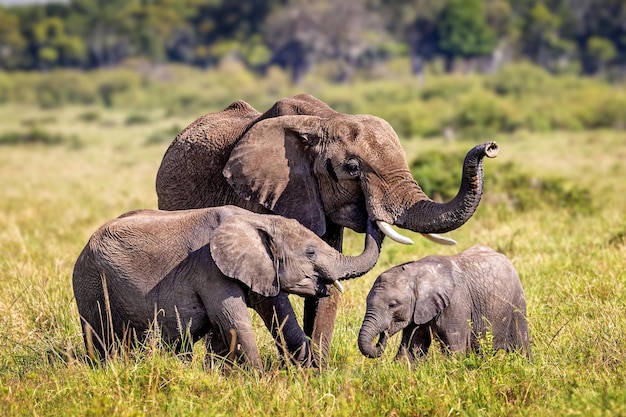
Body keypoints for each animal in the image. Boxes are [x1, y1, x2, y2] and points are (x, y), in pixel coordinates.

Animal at [72, 203, 380, 368]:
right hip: (92, 284)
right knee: (102, 340)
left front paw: (308, 375)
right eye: (311, 253)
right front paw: (259, 382)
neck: (258, 220)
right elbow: (236, 324)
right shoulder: (210, 269)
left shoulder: (262, 268)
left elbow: (282, 319)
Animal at [155, 93, 498, 364]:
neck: (324, 121)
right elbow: (269, 293)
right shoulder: (258, 196)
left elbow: (329, 285)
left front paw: (317, 375)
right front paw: (303, 371)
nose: (490, 146)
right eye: (353, 169)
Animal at [358, 244, 528, 360]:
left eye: (392, 305)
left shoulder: (456, 303)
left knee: (522, 344)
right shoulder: (418, 310)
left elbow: (455, 348)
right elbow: (410, 350)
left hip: (517, 301)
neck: (416, 271)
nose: (383, 334)